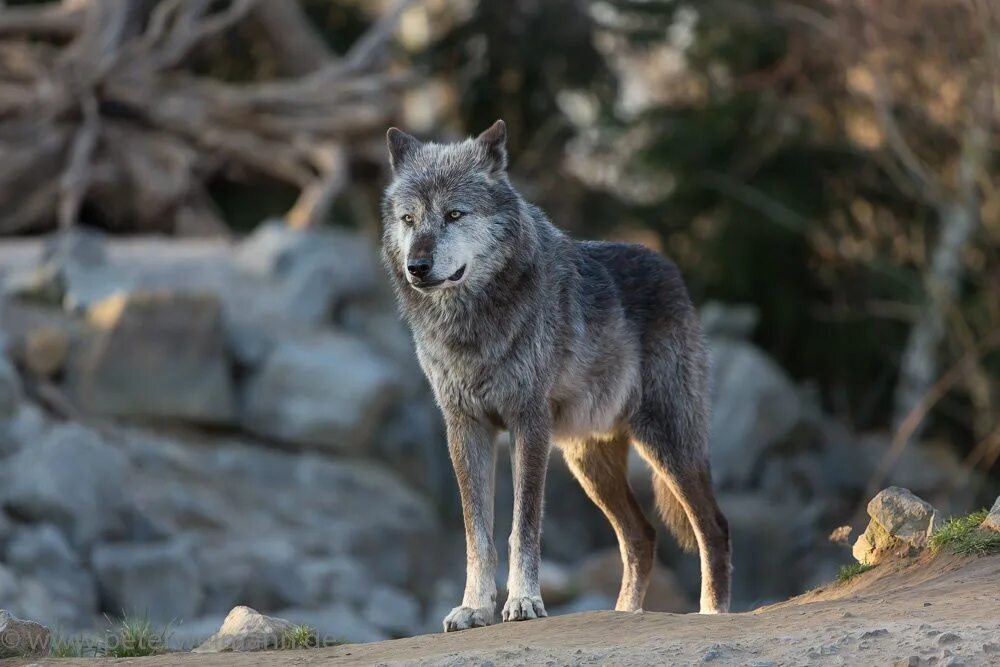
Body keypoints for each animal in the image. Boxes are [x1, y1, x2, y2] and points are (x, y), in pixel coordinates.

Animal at [378, 121, 732, 632]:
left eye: (454, 214)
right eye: (409, 219)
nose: (417, 267)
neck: (472, 326)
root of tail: (671, 269)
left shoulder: (528, 423)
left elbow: (522, 526)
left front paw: (524, 602)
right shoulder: (465, 427)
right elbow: (476, 534)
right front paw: (474, 608)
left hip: (667, 443)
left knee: (712, 528)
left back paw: (711, 614)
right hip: (589, 462)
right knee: (642, 535)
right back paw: (624, 614)